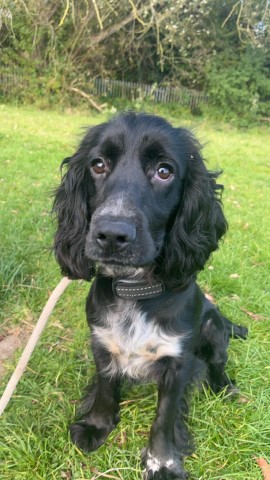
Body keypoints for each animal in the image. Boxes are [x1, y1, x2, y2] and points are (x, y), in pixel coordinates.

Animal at [52, 113, 247, 480]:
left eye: (164, 171)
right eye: (98, 165)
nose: (111, 234)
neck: (135, 288)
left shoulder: (178, 363)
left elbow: (164, 417)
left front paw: (163, 462)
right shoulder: (103, 344)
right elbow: (105, 390)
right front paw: (96, 426)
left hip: (213, 327)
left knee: (218, 362)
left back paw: (224, 387)